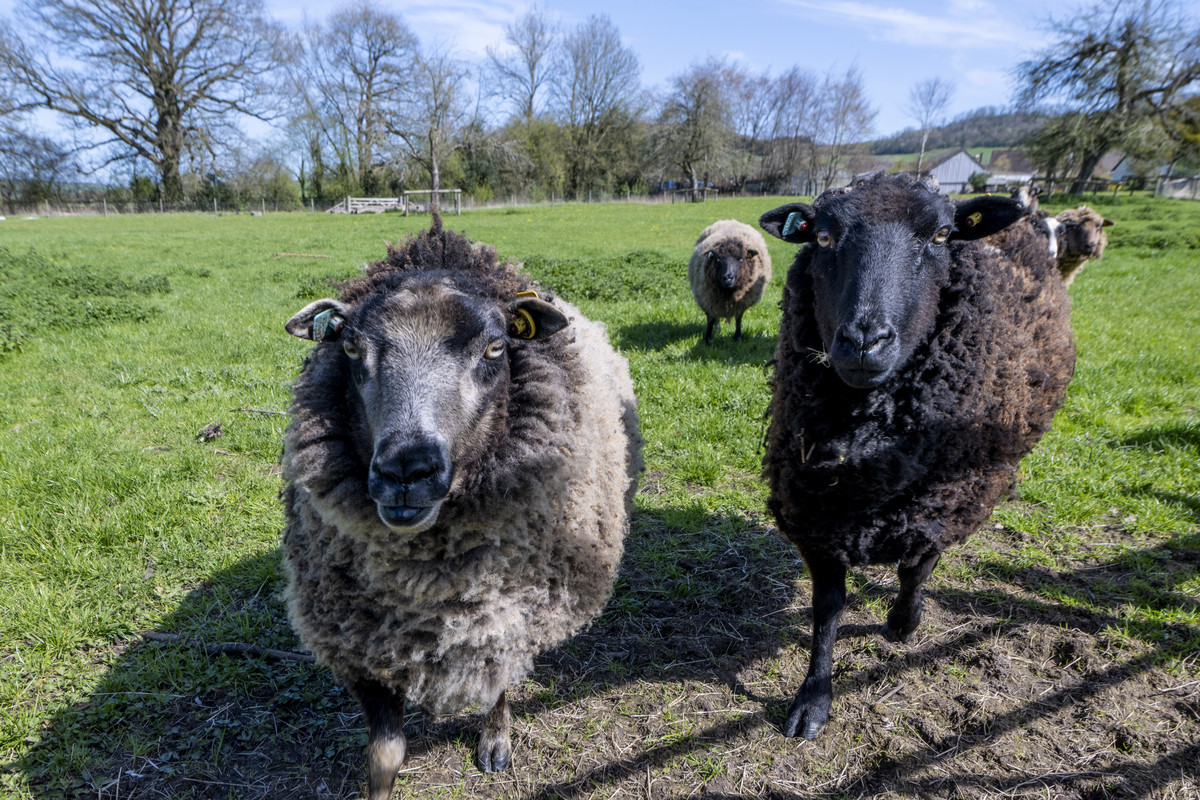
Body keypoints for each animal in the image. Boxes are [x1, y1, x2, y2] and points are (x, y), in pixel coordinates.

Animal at [280, 214, 642, 799]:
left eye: (495, 349)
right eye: (352, 350)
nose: (406, 471)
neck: (428, 587)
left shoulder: (505, 619)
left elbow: (499, 685)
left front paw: (496, 741)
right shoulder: (359, 641)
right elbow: (385, 753)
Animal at [758, 172, 1075, 740]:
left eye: (942, 235)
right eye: (822, 237)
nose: (865, 340)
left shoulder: (940, 506)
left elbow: (915, 572)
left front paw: (903, 624)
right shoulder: (817, 511)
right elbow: (827, 607)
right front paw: (813, 698)